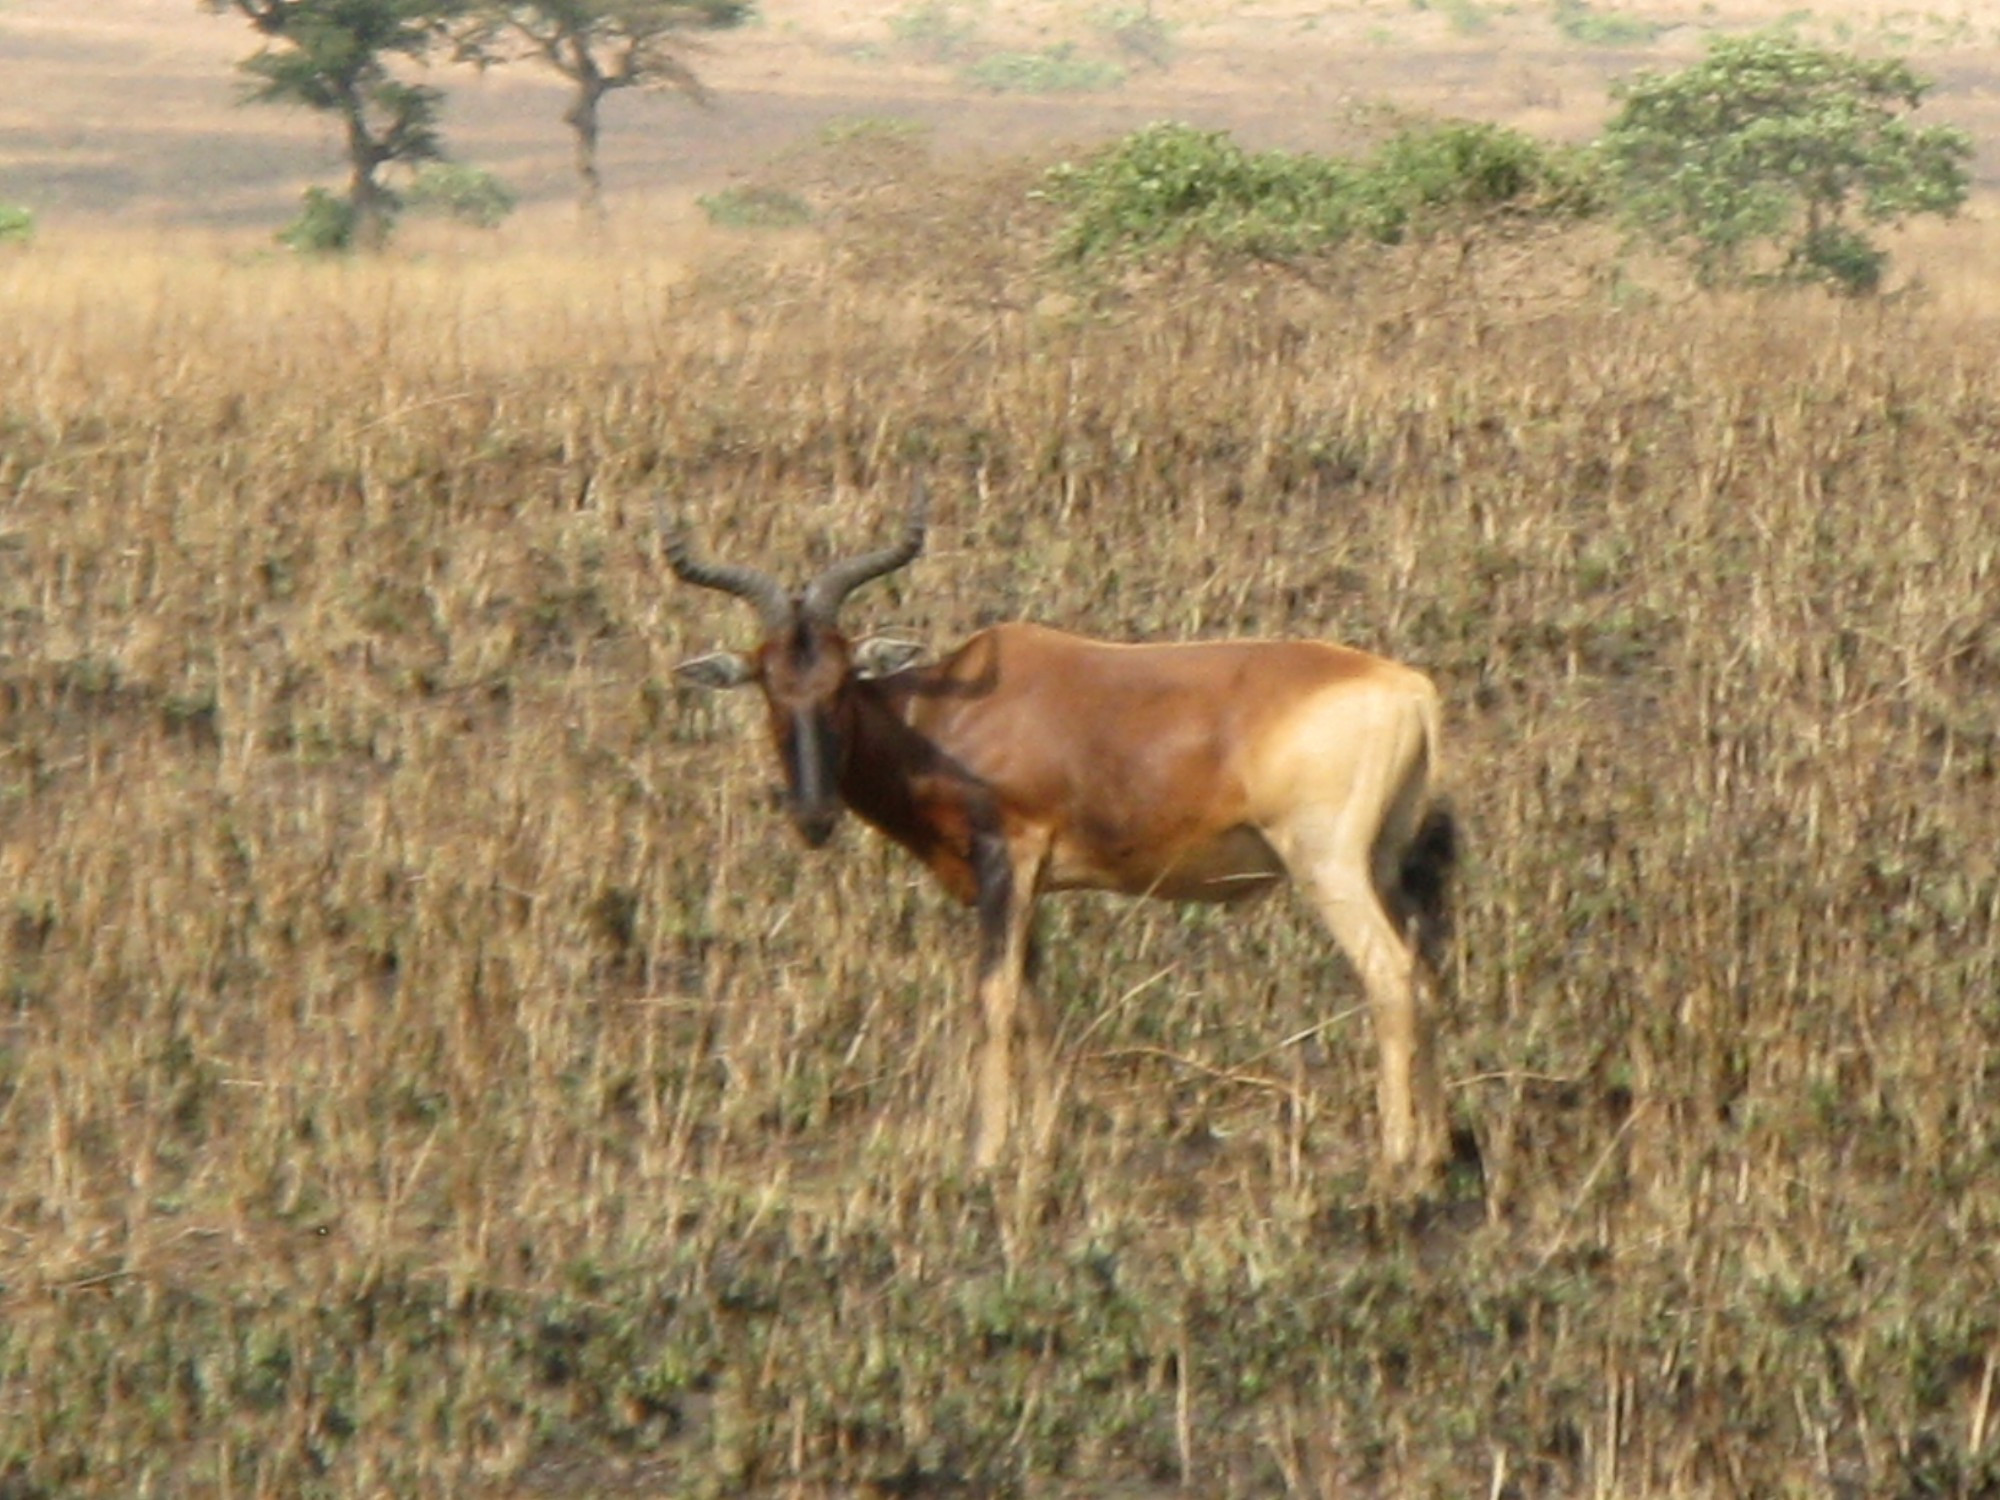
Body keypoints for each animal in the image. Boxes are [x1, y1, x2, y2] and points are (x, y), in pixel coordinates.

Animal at [668, 490, 1456, 1184]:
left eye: (840, 681)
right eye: (768, 683)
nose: (813, 816)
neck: (941, 711)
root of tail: (1410, 689)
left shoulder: (1005, 857)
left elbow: (993, 997)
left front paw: (984, 1156)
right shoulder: (1032, 882)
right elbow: (1036, 1003)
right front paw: (1041, 1148)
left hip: (1328, 866)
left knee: (1388, 975)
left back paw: (1395, 1157)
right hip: (1387, 867)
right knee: (1427, 973)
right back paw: (1438, 1152)